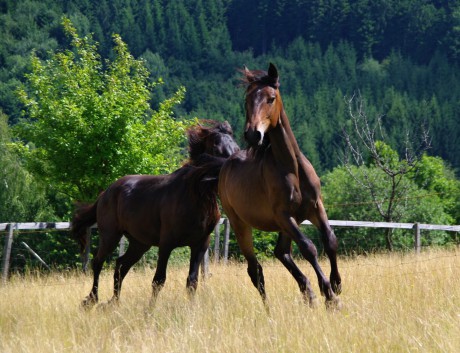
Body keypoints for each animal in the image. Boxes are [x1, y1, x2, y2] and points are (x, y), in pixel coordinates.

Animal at [72, 119, 241, 306]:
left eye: (236, 146)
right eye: (217, 147)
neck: (194, 194)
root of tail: (105, 193)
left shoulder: (200, 245)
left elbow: (192, 281)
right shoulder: (166, 243)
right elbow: (158, 280)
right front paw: (150, 310)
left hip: (139, 243)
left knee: (121, 265)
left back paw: (114, 302)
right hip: (110, 236)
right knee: (98, 262)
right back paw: (91, 300)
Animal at [218, 64, 342, 308]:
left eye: (271, 98)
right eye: (247, 100)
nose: (253, 134)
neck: (292, 168)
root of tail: (226, 164)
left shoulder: (314, 207)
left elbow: (329, 240)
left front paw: (336, 283)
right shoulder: (283, 215)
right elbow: (309, 248)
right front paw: (329, 294)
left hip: (287, 224)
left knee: (281, 253)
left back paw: (308, 292)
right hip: (240, 224)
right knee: (255, 269)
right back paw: (272, 307)